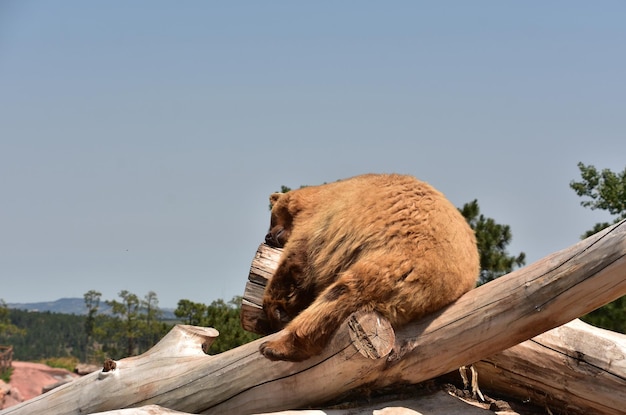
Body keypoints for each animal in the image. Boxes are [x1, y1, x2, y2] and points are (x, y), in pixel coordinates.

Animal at [258, 174, 478, 362]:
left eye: (271, 218)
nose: (268, 236)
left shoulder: (320, 221)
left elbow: (297, 260)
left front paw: (275, 310)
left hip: (395, 260)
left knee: (340, 295)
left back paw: (276, 346)